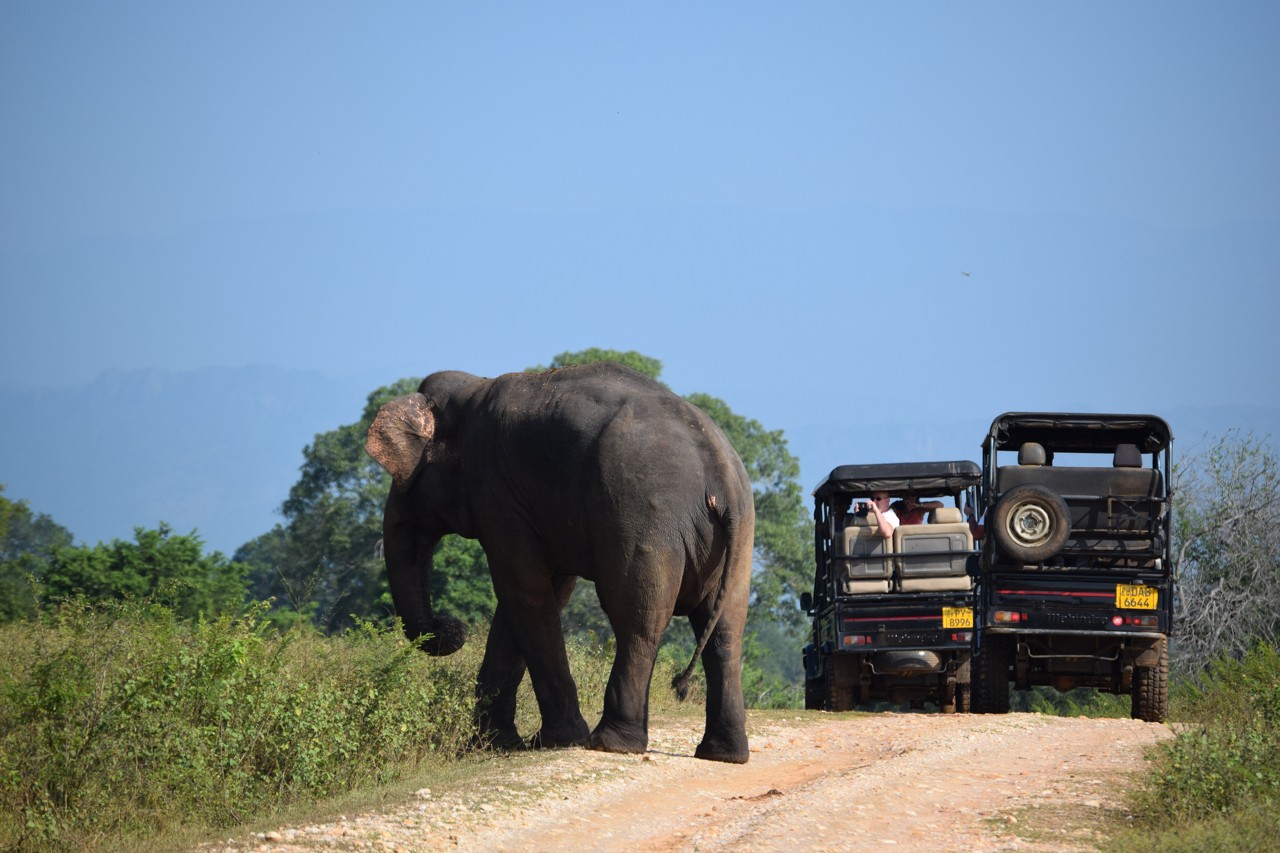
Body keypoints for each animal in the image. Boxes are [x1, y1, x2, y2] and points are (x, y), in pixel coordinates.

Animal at [360, 361, 752, 758]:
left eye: (405, 482)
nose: (448, 625)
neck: (472, 390)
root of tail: (720, 475)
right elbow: (540, 589)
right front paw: (493, 746)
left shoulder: (495, 488)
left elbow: (522, 589)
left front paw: (554, 740)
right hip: (736, 536)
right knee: (725, 630)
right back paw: (723, 754)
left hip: (644, 515)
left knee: (637, 619)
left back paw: (609, 743)